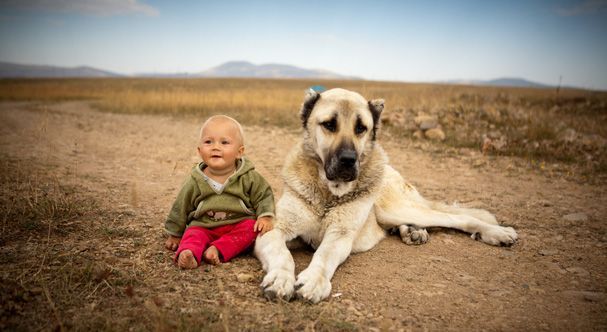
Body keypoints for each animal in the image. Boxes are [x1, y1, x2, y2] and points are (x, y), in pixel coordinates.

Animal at [254, 88, 520, 304]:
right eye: (329, 124)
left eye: (361, 128)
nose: (349, 160)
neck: (329, 194)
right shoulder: (274, 229)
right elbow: (283, 254)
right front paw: (280, 279)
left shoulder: (340, 235)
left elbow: (324, 255)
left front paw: (314, 280)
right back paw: (412, 231)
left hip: (396, 208)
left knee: (457, 218)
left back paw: (496, 233)